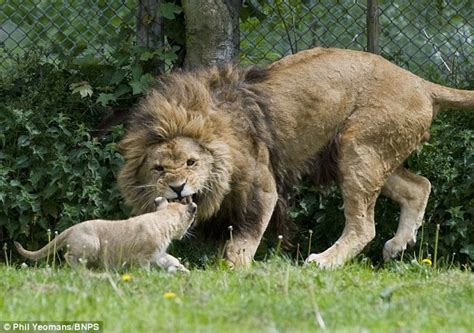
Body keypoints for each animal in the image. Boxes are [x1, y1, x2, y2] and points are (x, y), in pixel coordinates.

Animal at [118, 46, 474, 268]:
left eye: (192, 163)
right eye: (158, 168)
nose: (177, 187)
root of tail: (420, 82)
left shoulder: (262, 188)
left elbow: (244, 240)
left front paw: (233, 272)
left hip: (359, 148)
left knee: (364, 226)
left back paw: (324, 262)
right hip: (366, 154)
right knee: (420, 186)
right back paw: (398, 244)